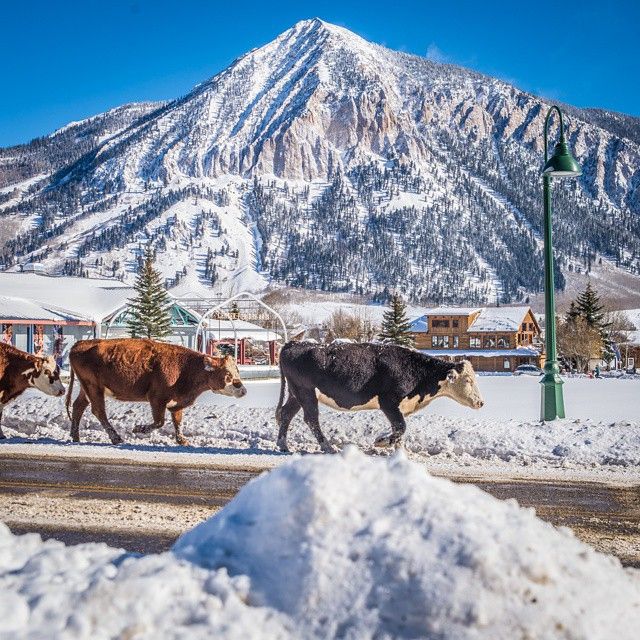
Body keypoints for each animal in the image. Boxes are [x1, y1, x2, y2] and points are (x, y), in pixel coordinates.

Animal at [67, 340, 248, 444]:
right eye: (228, 374)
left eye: (237, 371)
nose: (243, 390)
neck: (185, 367)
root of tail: (79, 344)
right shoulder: (157, 398)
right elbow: (159, 422)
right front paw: (139, 429)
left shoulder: (176, 402)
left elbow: (177, 421)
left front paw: (182, 440)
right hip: (94, 387)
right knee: (98, 411)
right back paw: (115, 438)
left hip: (86, 388)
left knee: (78, 407)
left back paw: (75, 437)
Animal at [276, 342, 484, 452]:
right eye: (468, 381)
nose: (481, 402)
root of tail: (293, 344)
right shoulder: (388, 402)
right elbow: (400, 427)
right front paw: (382, 441)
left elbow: (399, 430)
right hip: (306, 392)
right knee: (311, 419)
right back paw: (327, 447)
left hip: (296, 394)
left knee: (286, 414)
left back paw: (283, 445)